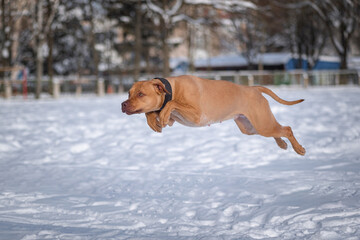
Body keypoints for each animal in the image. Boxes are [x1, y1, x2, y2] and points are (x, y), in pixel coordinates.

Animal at [122, 76, 306, 157]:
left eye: (140, 94)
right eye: (129, 93)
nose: (123, 104)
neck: (172, 89)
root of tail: (253, 88)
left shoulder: (197, 115)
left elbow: (171, 104)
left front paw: (162, 115)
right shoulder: (174, 119)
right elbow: (152, 112)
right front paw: (154, 122)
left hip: (262, 124)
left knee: (287, 129)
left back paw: (299, 148)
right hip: (251, 127)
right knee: (279, 131)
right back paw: (282, 144)